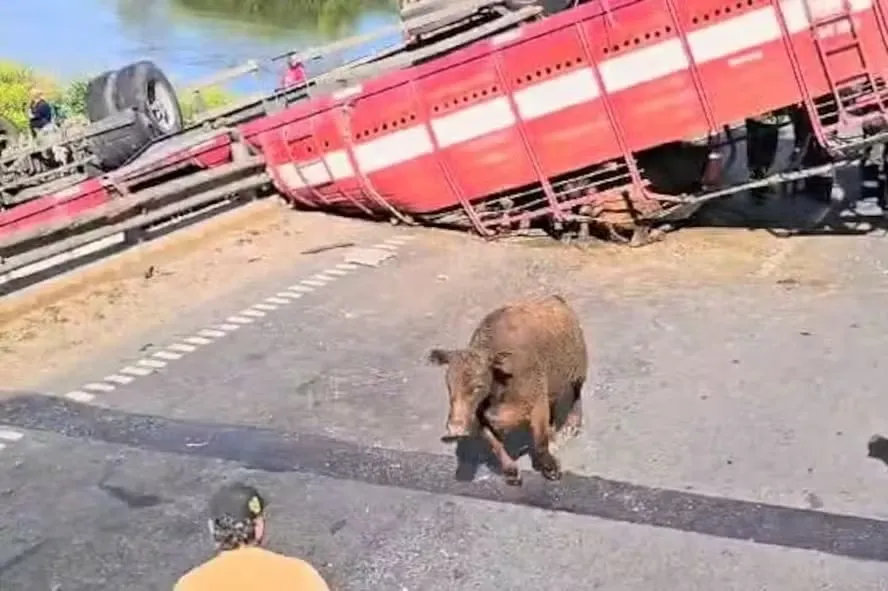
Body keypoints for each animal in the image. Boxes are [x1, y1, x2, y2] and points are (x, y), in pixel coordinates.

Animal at [426, 294, 588, 486]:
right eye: (449, 384)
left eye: (478, 386)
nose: (455, 427)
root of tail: (555, 298)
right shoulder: (482, 418)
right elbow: (495, 443)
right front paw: (510, 471)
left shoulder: (537, 402)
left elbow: (540, 440)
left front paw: (550, 468)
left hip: (578, 369)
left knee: (577, 393)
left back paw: (573, 423)